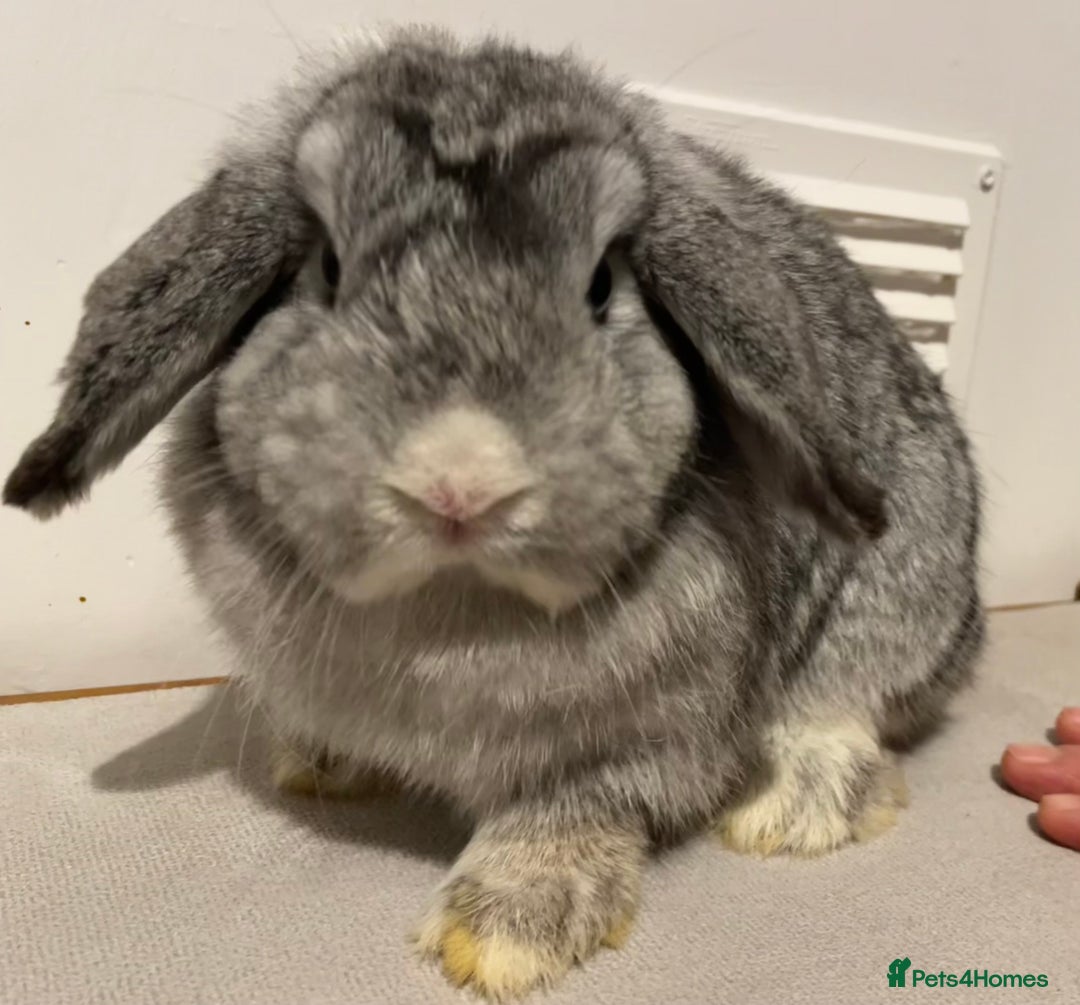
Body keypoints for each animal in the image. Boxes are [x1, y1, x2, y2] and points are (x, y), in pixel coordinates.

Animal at [4, 27, 984, 1000]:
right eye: (326, 267)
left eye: (602, 284)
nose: (459, 482)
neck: (450, 608)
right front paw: (315, 762)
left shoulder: (641, 743)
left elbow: (571, 810)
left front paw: (503, 934)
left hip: (899, 590)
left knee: (845, 703)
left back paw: (792, 810)